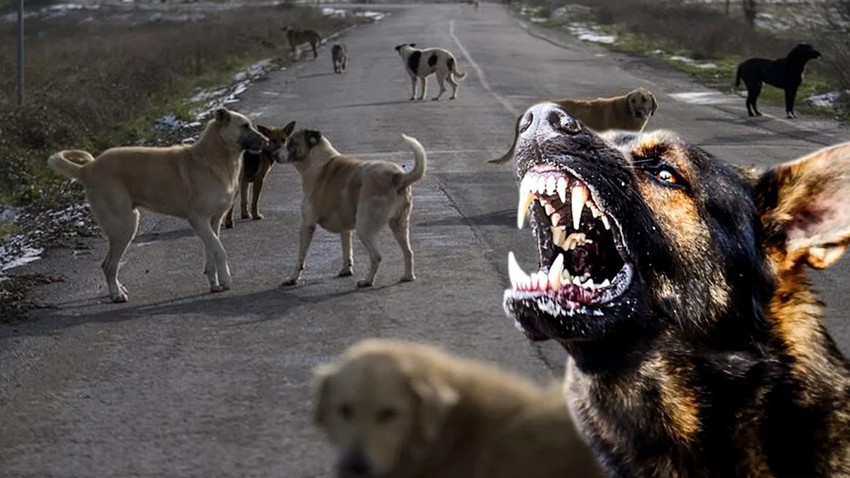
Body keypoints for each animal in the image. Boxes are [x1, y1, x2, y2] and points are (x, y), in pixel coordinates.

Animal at [48, 108, 266, 302]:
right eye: (244, 126)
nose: (267, 141)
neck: (214, 157)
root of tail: (87, 169)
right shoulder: (198, 220)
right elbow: (220, 250)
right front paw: (226, 280)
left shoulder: (213, 221)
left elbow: (211, 251)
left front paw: (215, 283)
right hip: (125, 226)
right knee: (108, 265)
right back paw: (117, 295)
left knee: (108, 264)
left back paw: (118, 289)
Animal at [274, 128, 428, 288]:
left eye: (292, 143)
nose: (274, 155)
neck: (317, 160)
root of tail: (397, 176)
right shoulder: (345, 227)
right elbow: (346, 249)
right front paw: (346, 270)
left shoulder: (307, 224)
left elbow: (300, 258)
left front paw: (293, 278)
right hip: (399, 225)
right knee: (408, 252)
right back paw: (408, 276)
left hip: (365, 228)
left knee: (377, 256)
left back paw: (368, 281)